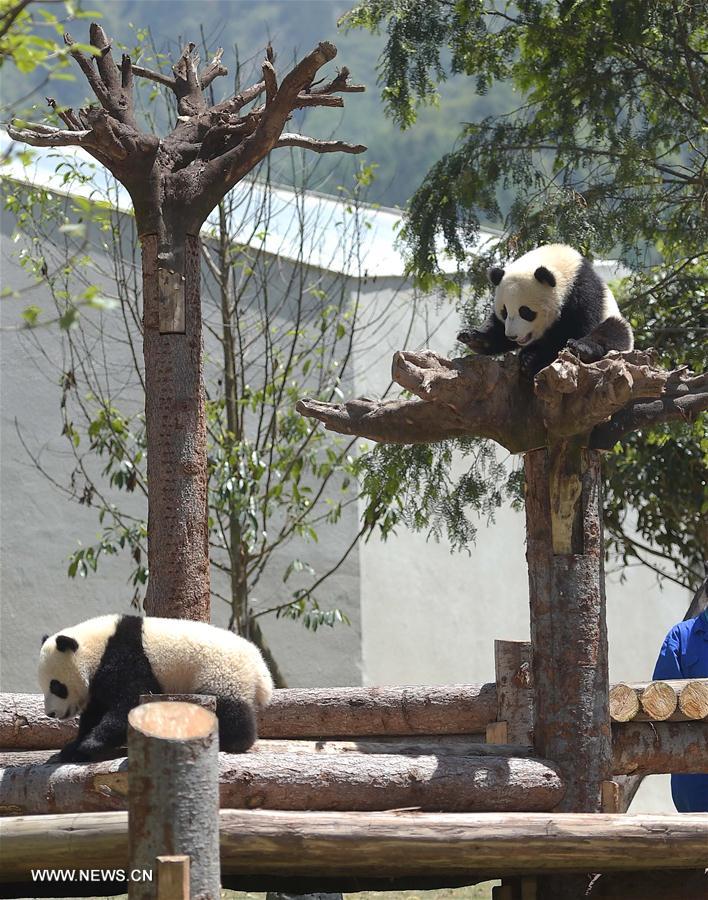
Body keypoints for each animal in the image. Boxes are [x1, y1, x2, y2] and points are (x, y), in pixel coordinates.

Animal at [38, 614, 274, 763]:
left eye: (57, 686)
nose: (51, 713)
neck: (97, 647)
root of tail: (260, 669)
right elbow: (95, 711)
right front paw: (72, 749)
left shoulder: (126, 658)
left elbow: (128, 703)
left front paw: (91, 744)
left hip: (221, 673)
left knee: (231, 710)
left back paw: (233, 741)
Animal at [457, 244, 633, 377]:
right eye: (505, 312)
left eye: (525, 312)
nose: (512, 336)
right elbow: (496, 328)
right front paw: (472, 336)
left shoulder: (583, 292)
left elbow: (577, 329)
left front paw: (532, 358)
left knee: (615, 330)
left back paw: (582, 348)